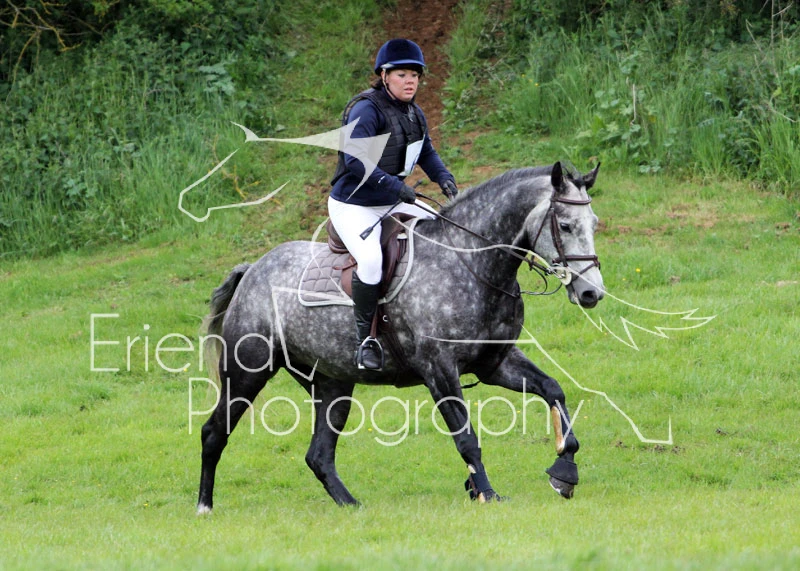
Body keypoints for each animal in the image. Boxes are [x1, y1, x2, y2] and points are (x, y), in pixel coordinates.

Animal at [197, 161, 604, 513]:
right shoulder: (439, 370)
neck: (470, 263)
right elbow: (466, 438)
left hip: (331, 384)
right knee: (214, 432)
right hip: (247, 371)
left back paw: (351, 505)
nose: (591, 293)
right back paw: (204, 507)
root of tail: (254, 269)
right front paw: (486, 493)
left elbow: (553, 390)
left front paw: (564, 473)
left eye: (594, 224)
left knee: (319, 454)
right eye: (565, 225)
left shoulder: (494, 363)